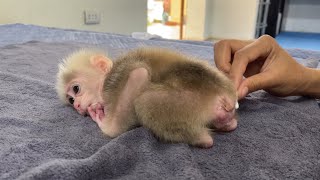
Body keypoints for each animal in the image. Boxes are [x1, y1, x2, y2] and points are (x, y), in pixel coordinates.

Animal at [56, 47, 239, 148]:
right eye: (71, 100)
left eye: (76, 89)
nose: (77, 105)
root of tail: (225, 94)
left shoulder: (116, 76)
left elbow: (139, 74)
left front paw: (107, 125)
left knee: (145, 101)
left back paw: (203, 139)